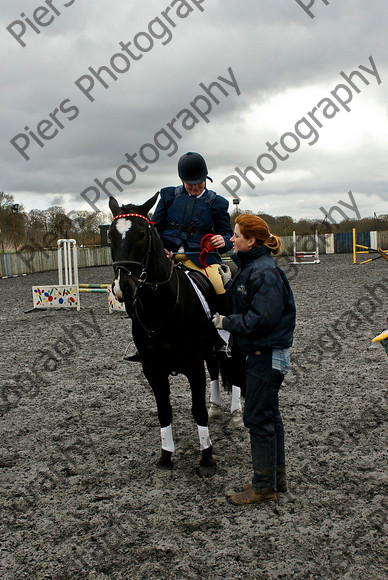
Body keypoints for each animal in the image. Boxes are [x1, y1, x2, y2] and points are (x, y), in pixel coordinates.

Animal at [109, 194, 224, 476]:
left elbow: (197, 410)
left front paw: (207, 458)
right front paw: (166, 455)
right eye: (110, 235)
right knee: (215, 369)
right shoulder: (153, 369)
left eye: (142, 234)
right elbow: (164, 411)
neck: (159, 308)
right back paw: (216, 407)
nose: (123, 287)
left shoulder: (193, 365)